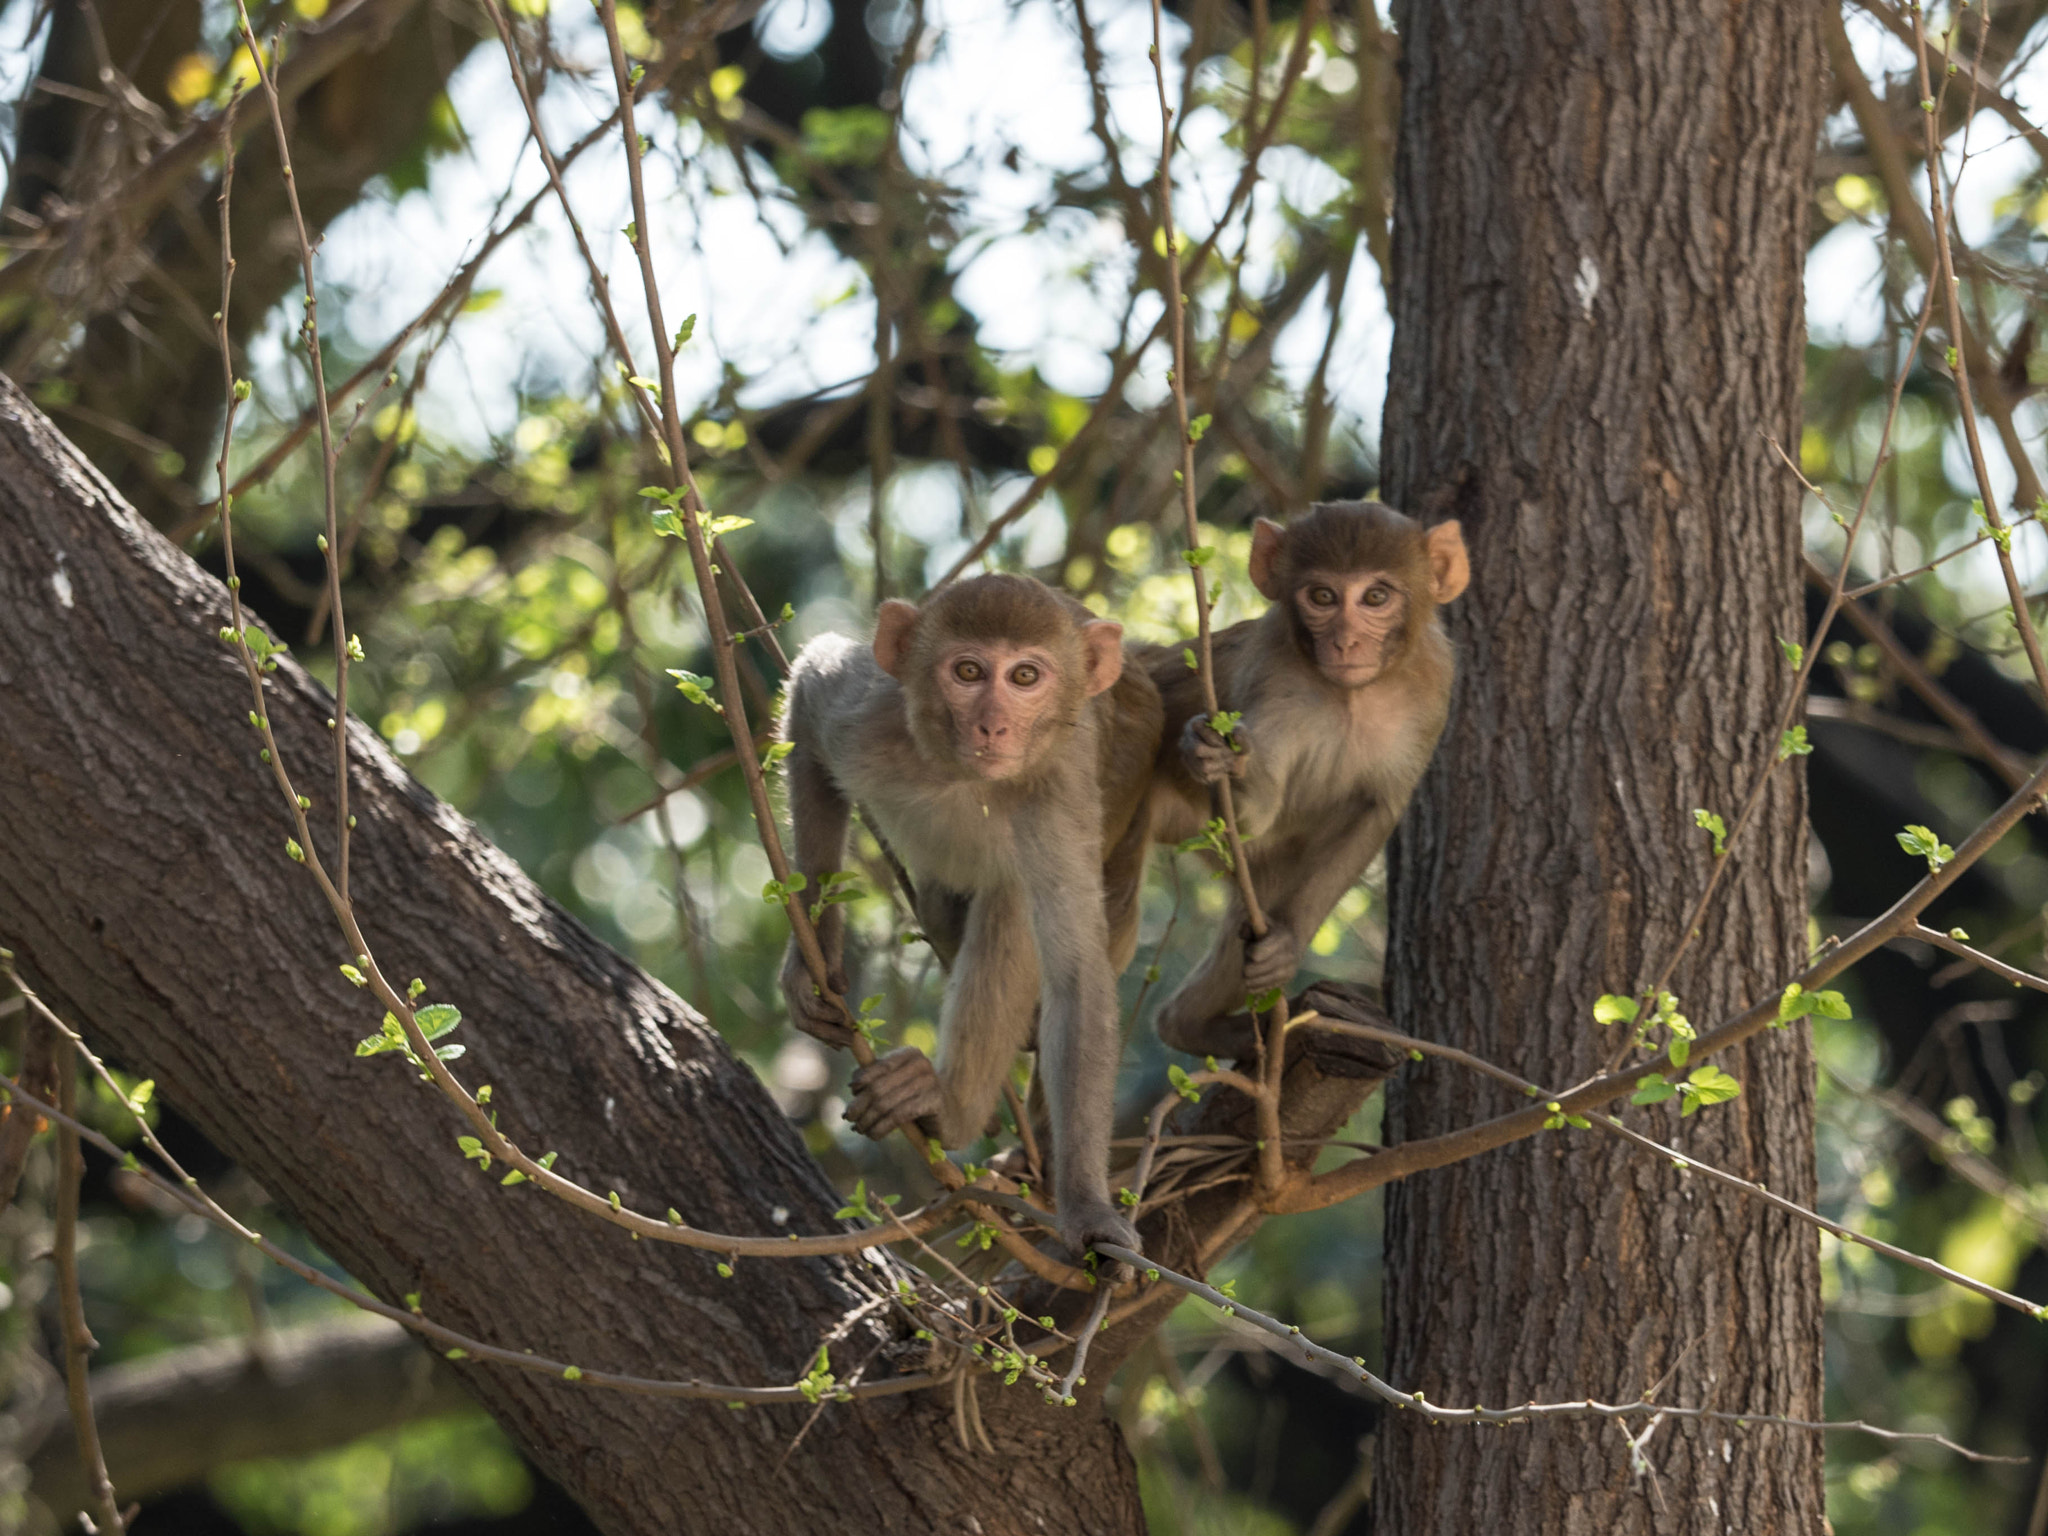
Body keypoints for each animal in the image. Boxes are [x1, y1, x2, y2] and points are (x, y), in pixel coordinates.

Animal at [774, 577, 1163, 1261]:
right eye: (968, 671)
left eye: (1026, 675)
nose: (993, 724)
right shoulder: (869, 720)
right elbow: (808, 698)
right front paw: (814, 947)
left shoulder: (1058, 795)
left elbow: (1077, 981)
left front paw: (1089, 1210)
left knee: (1012, 903)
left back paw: (948, 1106)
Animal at [1146, 499, 1466, 1064]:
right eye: (1322, 597)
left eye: (1376, 596)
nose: (1346, 640)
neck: (1354, 695)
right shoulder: (1273, 675)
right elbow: (1252, 815)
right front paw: (1216, 759)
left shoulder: (1434, 685)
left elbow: (1378, 809)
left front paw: (1287, 945)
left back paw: (1195, 1026)